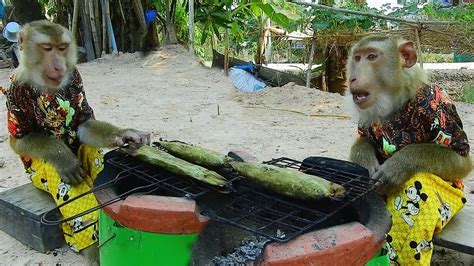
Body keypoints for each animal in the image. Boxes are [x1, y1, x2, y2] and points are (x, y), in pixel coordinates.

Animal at [4, 20, 150, 264]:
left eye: (62, 48)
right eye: (47, 48)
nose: (58, 65)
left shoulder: (74, 76)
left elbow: (83, 123)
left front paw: (125, 135)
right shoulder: (14, 89)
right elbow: (20, 140)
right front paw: (63, 156)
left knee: (90, 150)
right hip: (36, 177)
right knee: (60, 176)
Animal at [344, 35, 470, 266]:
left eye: (372, 57)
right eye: (357, 58)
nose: (353, 78)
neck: (396, 101)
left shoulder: (436, 106)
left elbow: (462, 159)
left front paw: (399, 164)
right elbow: (362, 139)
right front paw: (365, 162)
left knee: (420, 184)